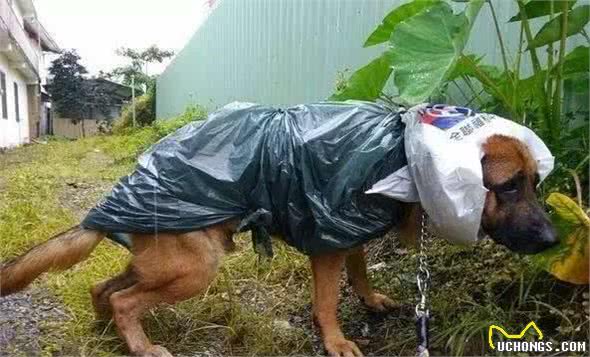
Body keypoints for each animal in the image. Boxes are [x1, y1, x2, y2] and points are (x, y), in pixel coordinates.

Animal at [0, 134, 556, 356]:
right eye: (508, 186)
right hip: (195, 267)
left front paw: (371, 301)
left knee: (102, 288)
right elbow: (328, 301)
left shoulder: (347, 231)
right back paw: (138, 345)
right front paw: (335, 341)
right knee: (122, 299)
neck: (404, 150)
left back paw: (107, 334)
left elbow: (360, 273)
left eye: (534, 182)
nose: (554, 239)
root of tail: (113, 201)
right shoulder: (328, 243)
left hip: (166, 262)